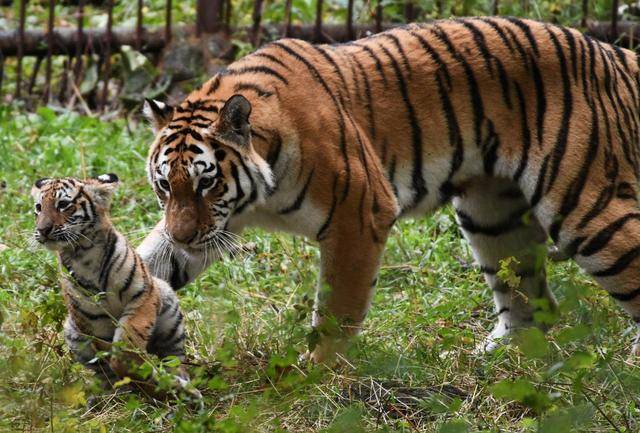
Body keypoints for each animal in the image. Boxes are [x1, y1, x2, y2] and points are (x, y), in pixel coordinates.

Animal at [138, 17, 640, 362]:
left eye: (207, 182)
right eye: (165, 185)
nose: (182, 235)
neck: (257, 196)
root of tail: (610, 51)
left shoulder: (358, 214)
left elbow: (337, 307)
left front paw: (314, 372)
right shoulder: (212, 226)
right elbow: (149, 263)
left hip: (587, 210)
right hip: (490, 216)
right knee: (533, 303)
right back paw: (493, 358)